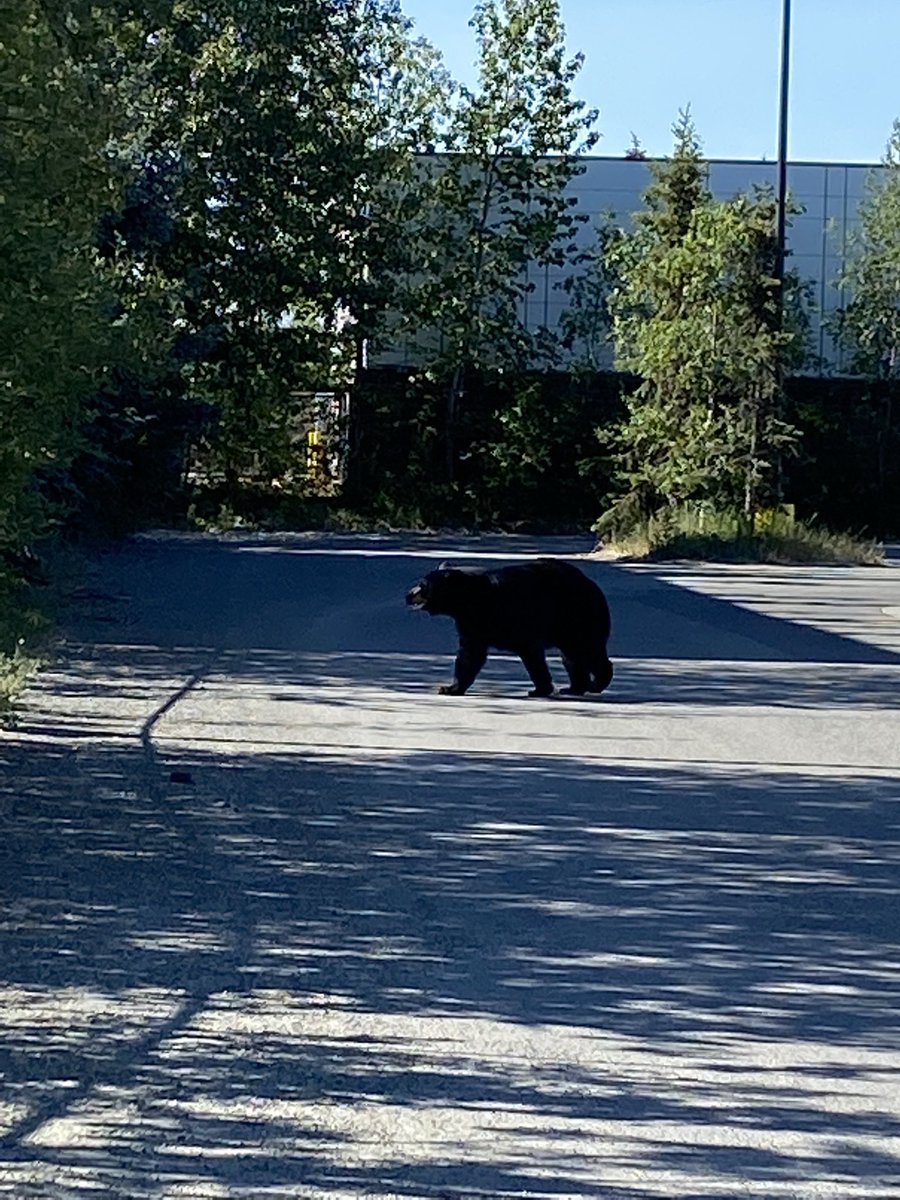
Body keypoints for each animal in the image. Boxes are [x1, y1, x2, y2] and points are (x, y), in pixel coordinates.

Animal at [405, 557, 613, 698]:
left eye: (423, 585)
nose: (408, 595)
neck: (468, 600)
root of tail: (592, 585)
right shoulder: (471, 624)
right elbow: (470, 654)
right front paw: (451, 687)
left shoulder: (512, 614)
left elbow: (530, 653)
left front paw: (540, 688)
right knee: (572, 657)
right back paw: (574, 687)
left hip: (576, 615)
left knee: (586, 649)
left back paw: (597, 683)